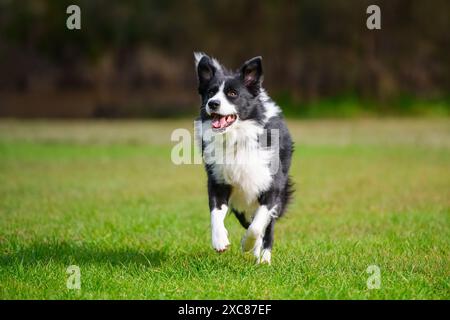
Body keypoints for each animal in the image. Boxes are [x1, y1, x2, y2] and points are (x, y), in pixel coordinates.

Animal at [194, 52, 294, 264]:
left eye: (232, 94)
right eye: (210, 92)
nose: (212, 103)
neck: (236, 138)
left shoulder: (272, 185)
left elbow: (258, 225)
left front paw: (247, 245)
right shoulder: (218, 180)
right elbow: (215, 213)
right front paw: (220, 240)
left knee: (267, 227)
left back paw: (264, 258)